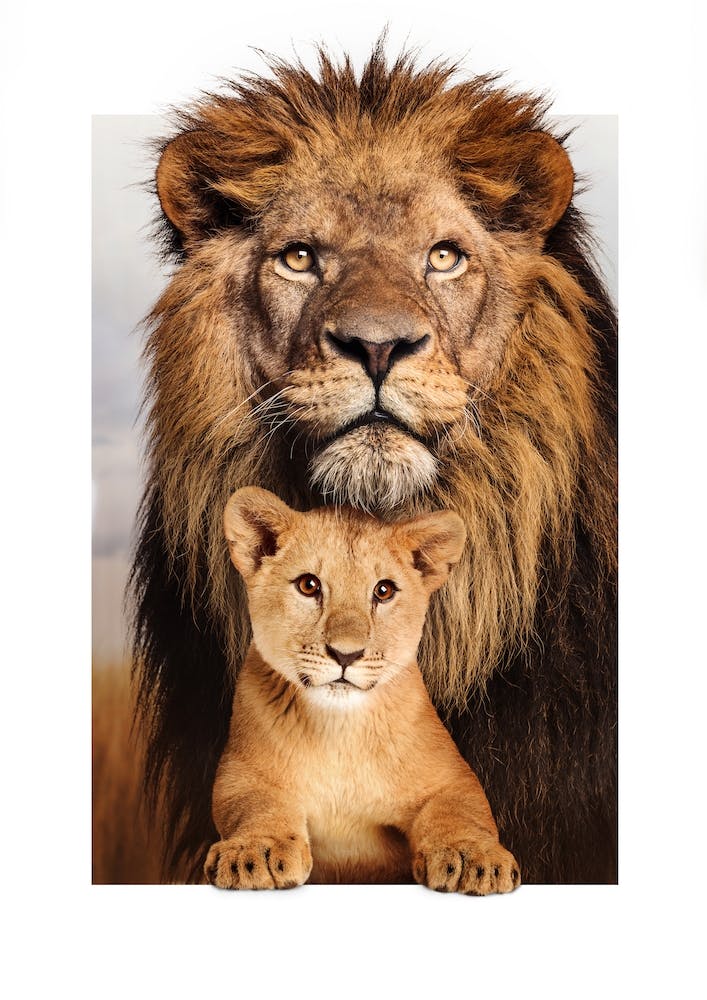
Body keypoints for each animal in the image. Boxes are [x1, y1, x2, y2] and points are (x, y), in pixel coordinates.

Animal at [206, 486, 519, 892]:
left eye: (383, 591)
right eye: (309, 585)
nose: (346, 654)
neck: (340, 729)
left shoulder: (451, 778)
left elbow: (460, 811)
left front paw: (473, 858)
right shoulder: (241, 773)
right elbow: (255, 805)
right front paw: (256, 852)